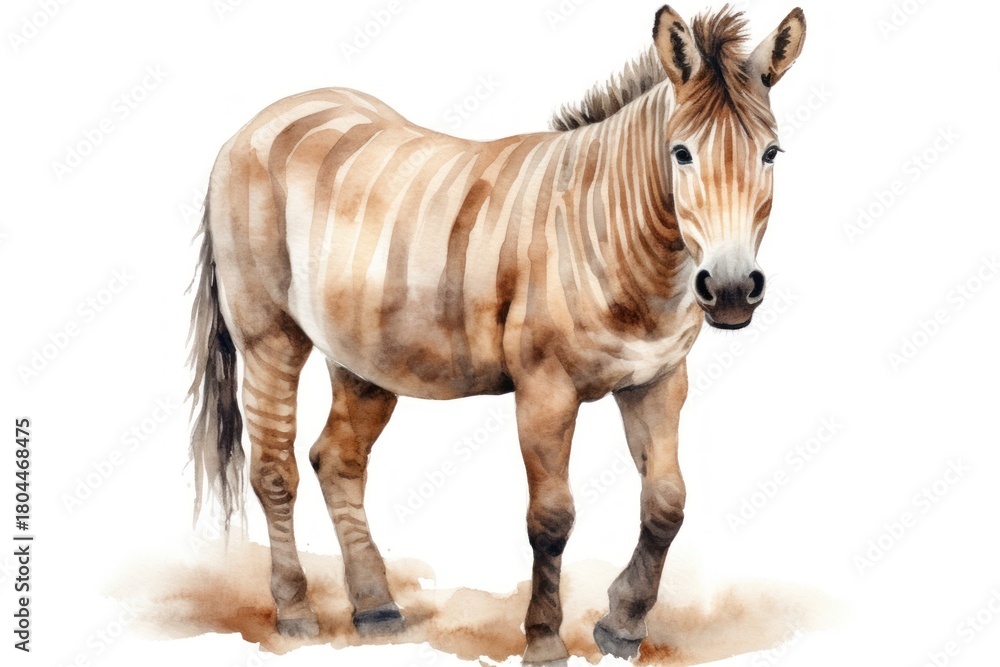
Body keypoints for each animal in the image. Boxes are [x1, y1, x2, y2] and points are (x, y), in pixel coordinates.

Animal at [187, 5, 805, 663]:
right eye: (681, 153)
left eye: (771, 153)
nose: (733, 290)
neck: (616, 238)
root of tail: (265, 117)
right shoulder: (544, 389)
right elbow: (551, 518)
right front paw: (545, 639)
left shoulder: (658, 379)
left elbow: (666, 504)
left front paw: (622, 625)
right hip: (268, 338)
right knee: (275, 470)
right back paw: (297, 615)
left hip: (363, 355)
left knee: (337, 460)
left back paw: (377, 611)